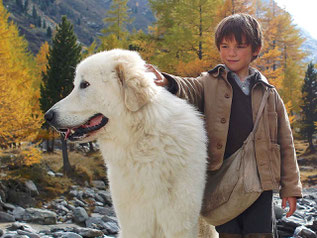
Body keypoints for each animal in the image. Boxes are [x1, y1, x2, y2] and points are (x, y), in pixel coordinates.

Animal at [44, 49, 207, 237]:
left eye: (84, 84)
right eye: (76, 84)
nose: (48, 116)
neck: (141, 143)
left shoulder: (179, 223)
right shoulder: (134, 221)